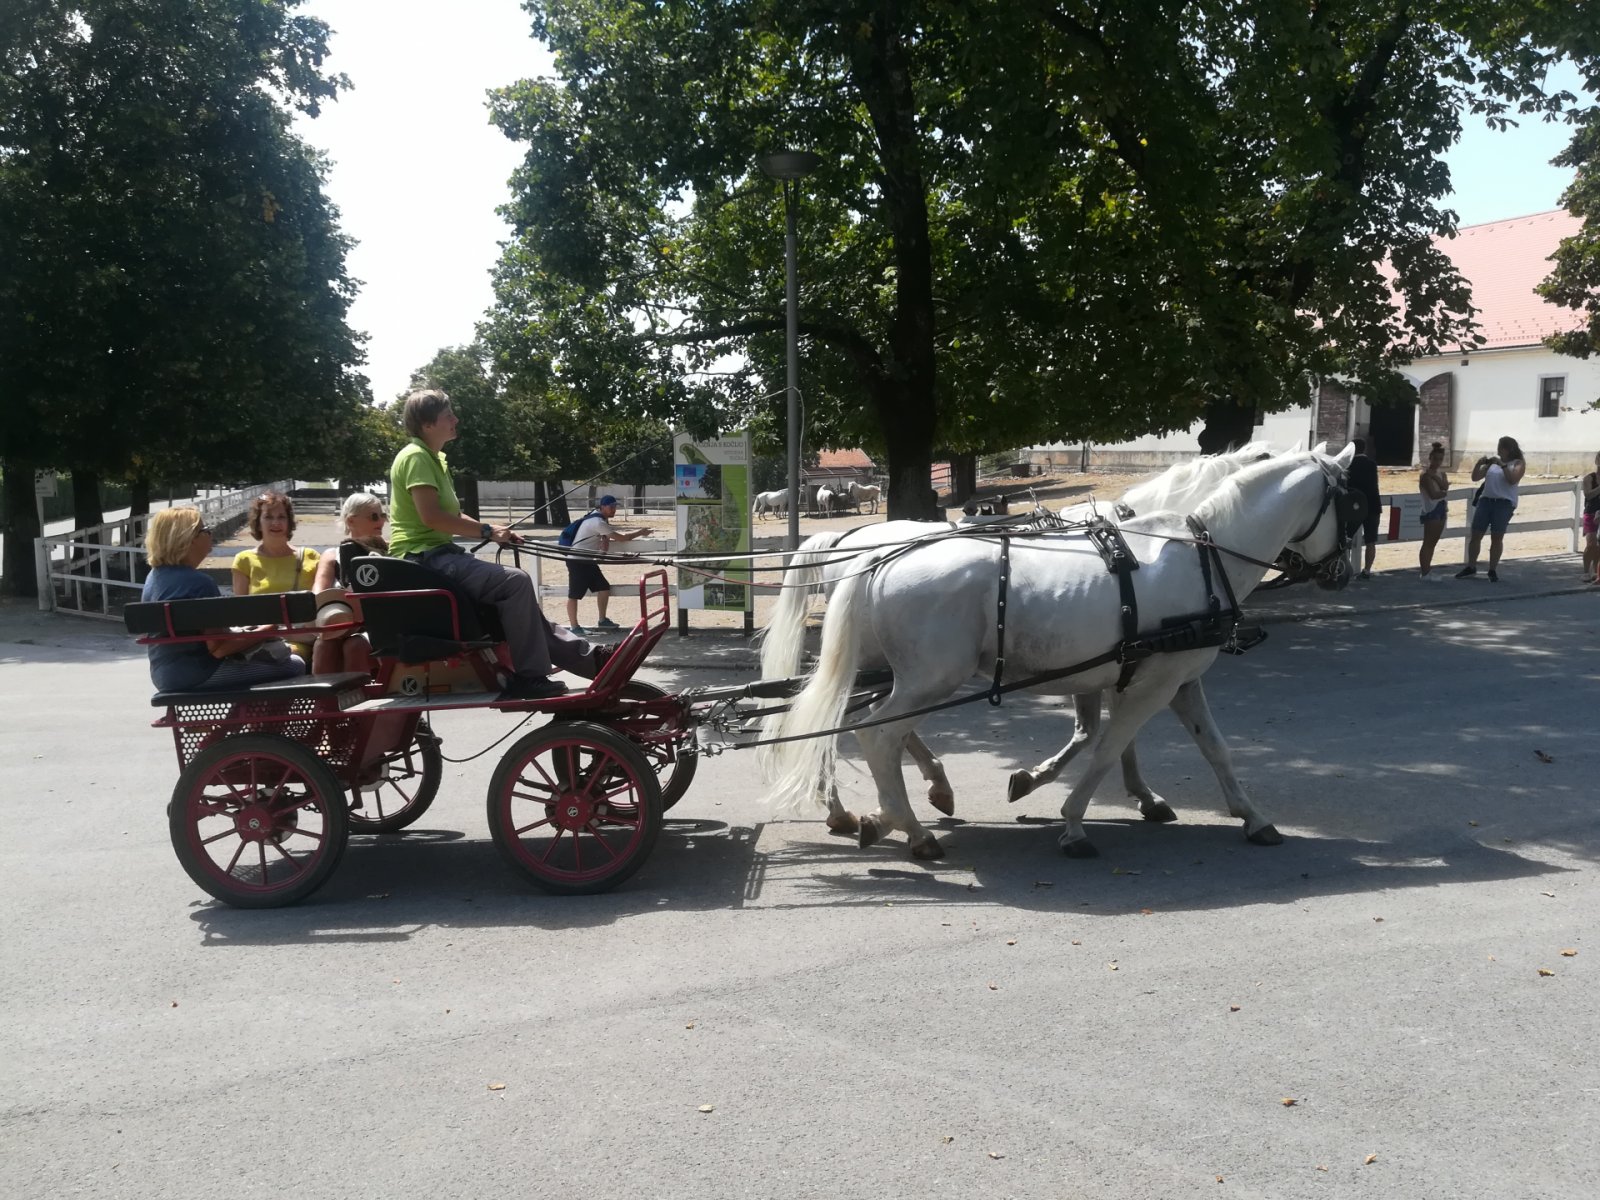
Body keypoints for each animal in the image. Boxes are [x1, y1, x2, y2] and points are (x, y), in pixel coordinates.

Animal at [768, 448, 1356, 857]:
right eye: (1353, 502)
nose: (1343, 573)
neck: (1201, 556)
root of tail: (875, 556)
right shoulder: (1151, 682)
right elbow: (1105, 746)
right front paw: (1074, 820)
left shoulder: (1162, 677)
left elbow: (1210, 748)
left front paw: (1250, 816)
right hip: (926, 679)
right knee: (876, 734)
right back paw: (909, 825)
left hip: (884, 671)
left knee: (841, 722)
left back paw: (872, 811)